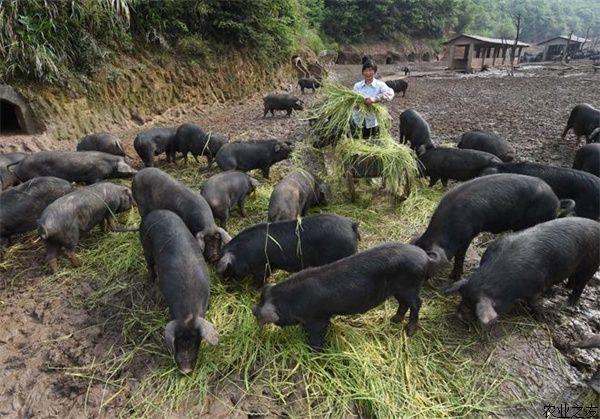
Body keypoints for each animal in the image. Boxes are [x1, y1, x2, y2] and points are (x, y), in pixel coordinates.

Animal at [139, 210, 219, 374]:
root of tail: (154, 213)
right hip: (145, 246)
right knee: (150, 265)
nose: (185, 370)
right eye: (176, 342)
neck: (188, 313)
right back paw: (150, 281)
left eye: (197, 340)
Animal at [251, 243, 442, 352]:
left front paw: (314, 351)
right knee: (404, 304)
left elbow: (317, 336)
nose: (253, 309)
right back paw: (394, 320)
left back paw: (409, 331)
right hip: (399, 290)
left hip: (410, 286)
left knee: (417, 303)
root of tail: (425, 256)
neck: (292, 301)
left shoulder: (318, 318)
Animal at [448, 218, 596, 326]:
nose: (458, 316)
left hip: (590, 264)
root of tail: (597, 225)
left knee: (580, 285)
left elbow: (534, 303)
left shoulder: (536, 287)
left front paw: (543, 318)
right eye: (463, 298)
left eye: (471, 306)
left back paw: (569, 304)